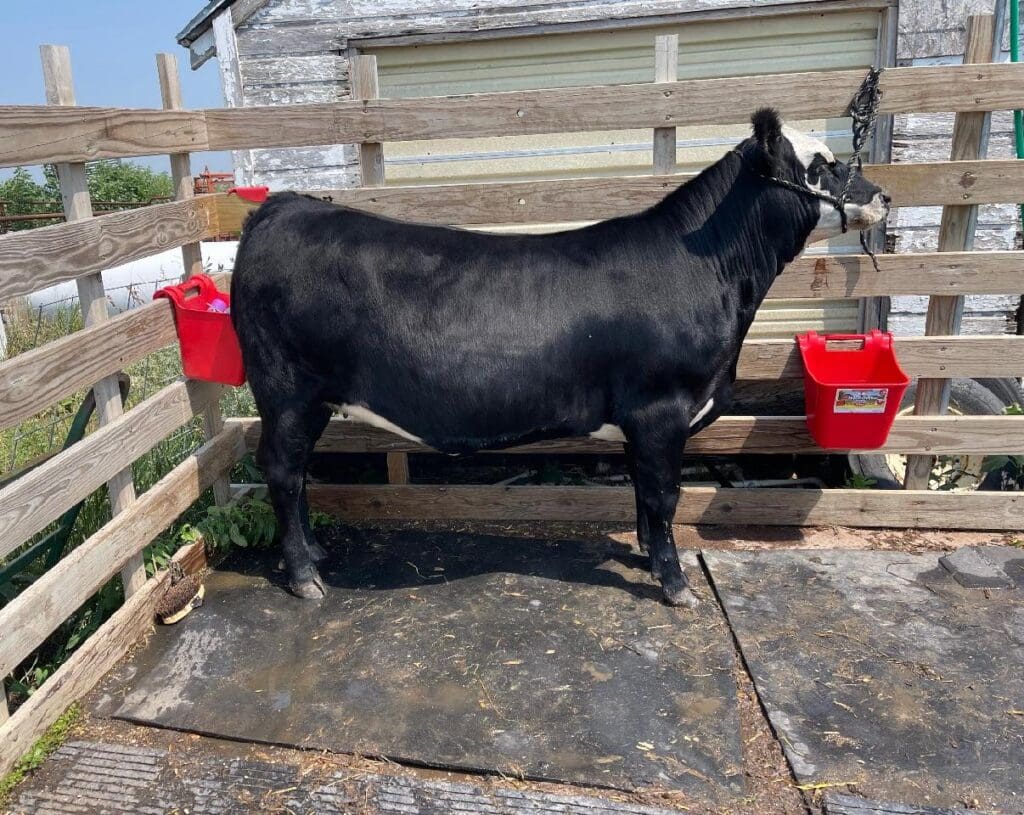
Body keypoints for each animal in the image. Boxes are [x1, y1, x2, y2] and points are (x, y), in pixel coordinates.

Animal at [231, 108, 889, 608]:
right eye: (821, 165)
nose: (882, 194)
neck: (710, 272)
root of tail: (283, 207)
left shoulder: (640, 422)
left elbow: (642, 494)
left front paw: (649, 559)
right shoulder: (661, 410)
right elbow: (663, 497)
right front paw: (676, 585)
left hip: (306, 400)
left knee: (297, 473)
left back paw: (314, 553)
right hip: (286, 392)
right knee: (282, 471)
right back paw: (305, 577)